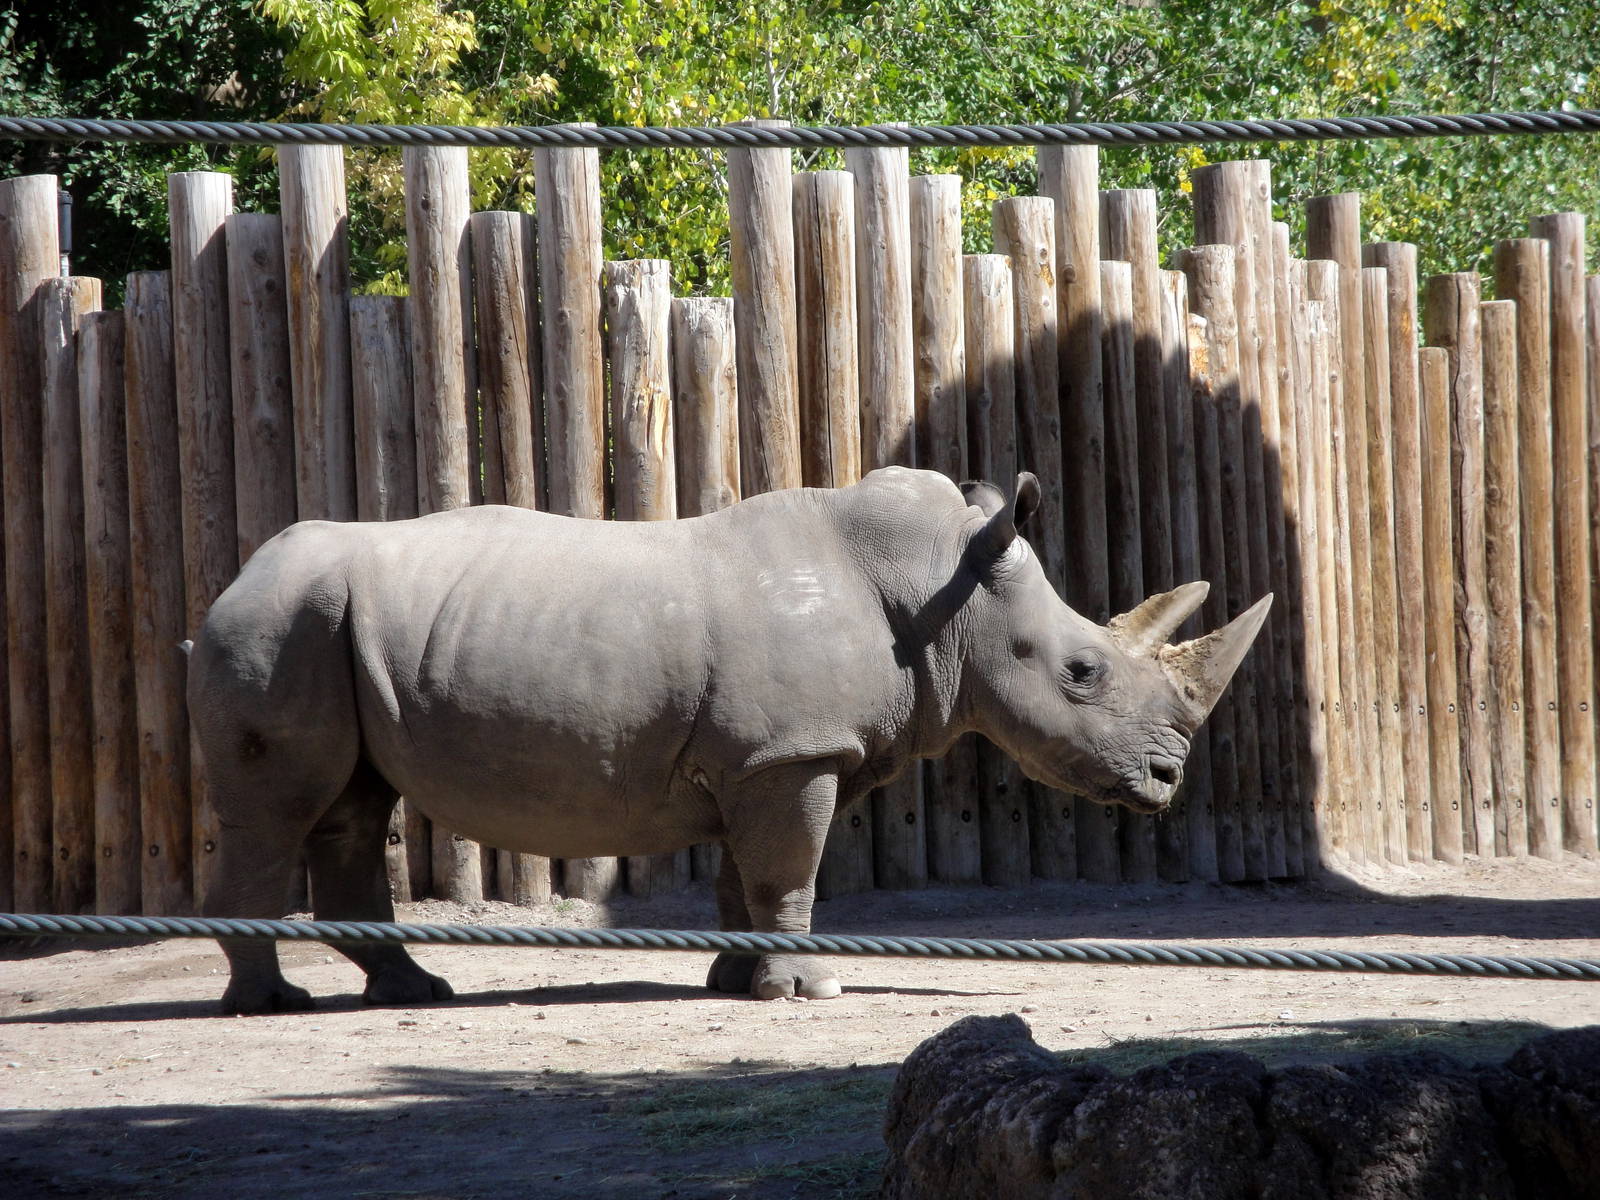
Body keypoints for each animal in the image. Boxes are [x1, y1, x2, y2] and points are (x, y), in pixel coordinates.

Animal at [189, 466, 1269, 1014]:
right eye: (1082, 672)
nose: (1167, 776)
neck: (944, 594)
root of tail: (229, 583)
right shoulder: (789, 752)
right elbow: (790, 869)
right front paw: (807, 991)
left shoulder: (766, 754)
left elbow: (745, 874)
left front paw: (734, 980)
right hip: (278, 625)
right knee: (280, 811)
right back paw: (272, 1005)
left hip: (327, 627)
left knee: (350, 805)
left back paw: (414, 988)